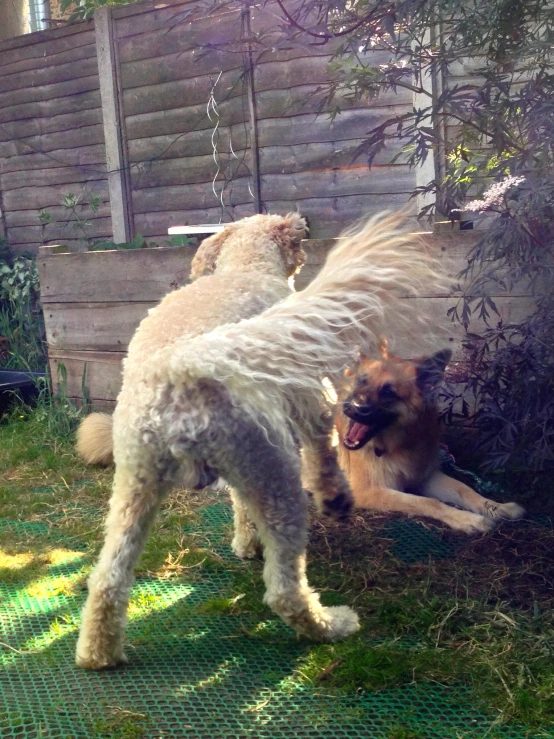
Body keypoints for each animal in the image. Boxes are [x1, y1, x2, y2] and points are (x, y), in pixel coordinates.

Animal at [76, 211, 440, 668]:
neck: (245, 267)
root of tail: (180, 366)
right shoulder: (310, 399)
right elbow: (324, 453)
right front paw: (334, 498)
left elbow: (239, 504)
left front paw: (246, 541)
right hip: (275, 475)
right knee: (284, 590)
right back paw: (331, 625)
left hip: (137, 486)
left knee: (109, 577)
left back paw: (98, 653)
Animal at [334, 350, 524, 536]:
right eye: (361, 381)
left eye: (388, 393)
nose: (350, 407)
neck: (395, 446)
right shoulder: (367, 491)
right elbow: (429, 502)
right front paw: (469, 519)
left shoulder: (427, 478)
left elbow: (464, 489)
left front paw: (497, 507)